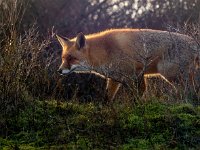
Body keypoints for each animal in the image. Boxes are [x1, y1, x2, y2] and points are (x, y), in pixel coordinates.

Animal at [56, 28, 200, 101]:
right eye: (63, 58)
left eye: (71, 58)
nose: (59, 70)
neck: (105, 51)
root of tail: (193, 42)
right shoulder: (115, 78)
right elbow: (108, 97)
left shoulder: (133, 74)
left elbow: (137, 95)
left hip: (171, 74)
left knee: (190, 90)